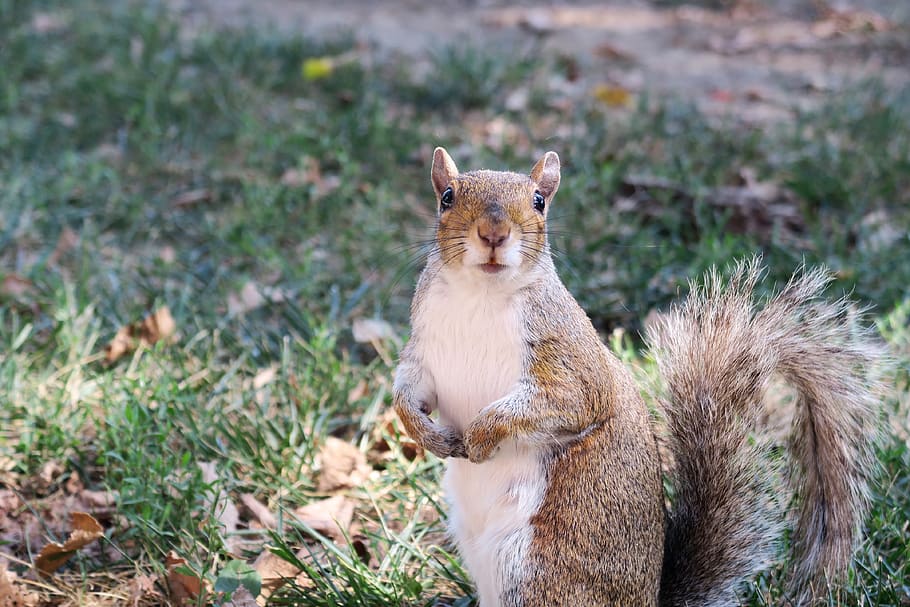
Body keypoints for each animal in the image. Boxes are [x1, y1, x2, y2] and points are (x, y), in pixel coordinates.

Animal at [392, 147, 881, 607]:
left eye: (539, 202)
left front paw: (480, 435)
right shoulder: (423, 350)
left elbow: (572, 400)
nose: (493, 235)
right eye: (446, 197)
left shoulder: (569, 357)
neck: (481, 295)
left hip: (540, 570)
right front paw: (428, 434)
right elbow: (408, 392)